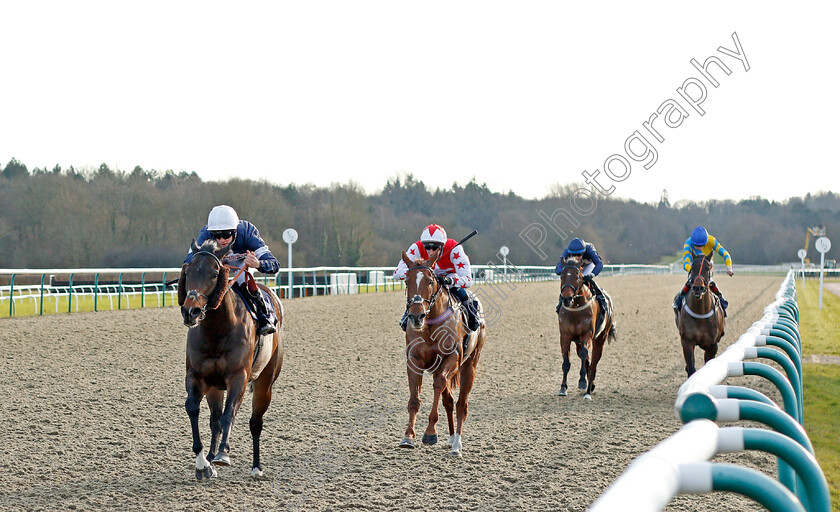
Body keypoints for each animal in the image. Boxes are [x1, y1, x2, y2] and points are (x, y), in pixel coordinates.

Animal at [178, 240, 286, 480]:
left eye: (214, 273)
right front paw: (203, 464)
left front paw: (223, 454)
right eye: (188, 272)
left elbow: (230, 414)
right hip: (215, 387)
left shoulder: (238, 377)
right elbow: (194, 409)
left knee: (255, 422)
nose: (191, 311)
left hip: (265, 383)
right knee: (215, 420)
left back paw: (256, 467)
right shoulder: (198, 376)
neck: (216, 332)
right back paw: (210, 458)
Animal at [398, 252, 486, 456]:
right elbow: (414, 399)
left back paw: (457, 445)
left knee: (461, 404)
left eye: (430, 281)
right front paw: (408, 436)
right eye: (407, 281)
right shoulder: (414, 361)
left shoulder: (452, 358)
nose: (416, 316)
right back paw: (452, 437)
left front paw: (430, 433)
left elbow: (438, 385)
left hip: (469, 365)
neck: (431, 324)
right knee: (449, 401)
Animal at [556, 256, 616, 400]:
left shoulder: (587, 333)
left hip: (600, 339)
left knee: (593, 361)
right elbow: (566, 360)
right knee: (587, 360)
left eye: (577, 276)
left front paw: (582, 382)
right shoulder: (565, 335)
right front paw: (563, 388)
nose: (567, 298)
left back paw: (588, 390)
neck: (575, 308)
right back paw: (591, 385)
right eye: (562, 276)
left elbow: (584, 354)